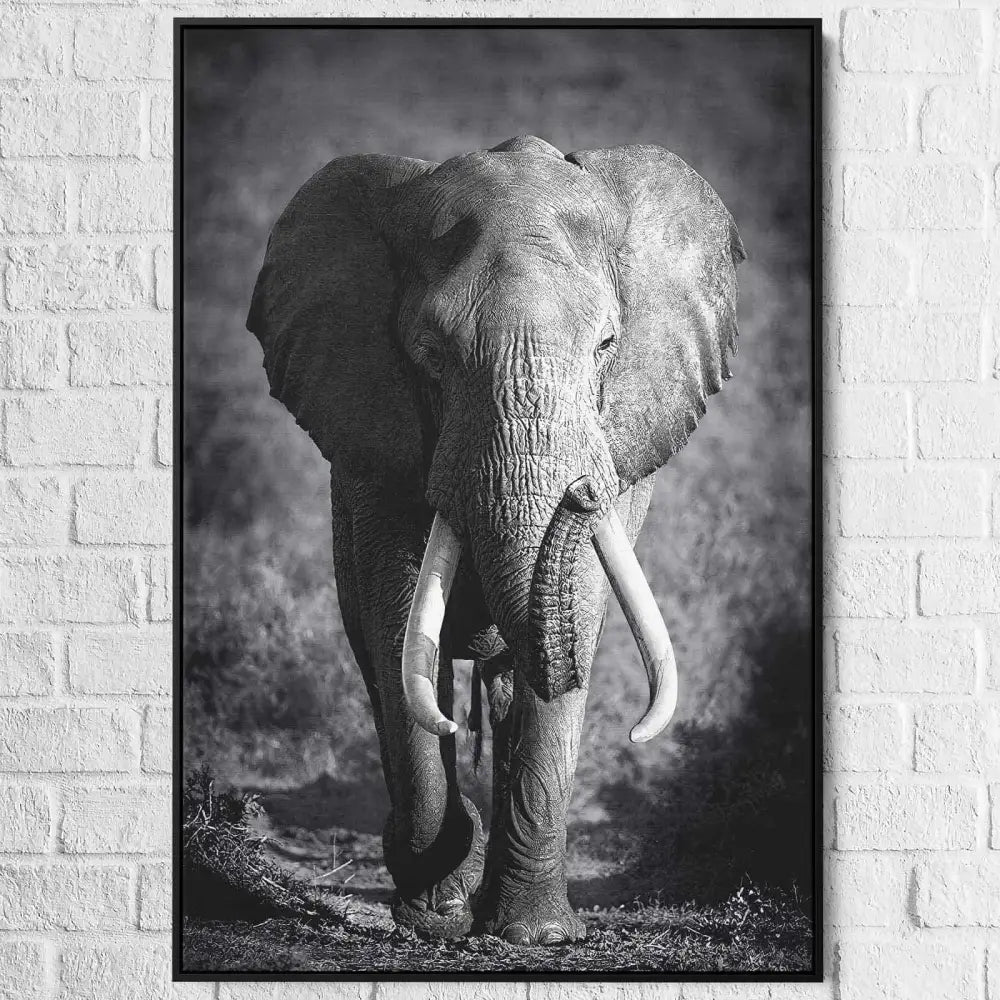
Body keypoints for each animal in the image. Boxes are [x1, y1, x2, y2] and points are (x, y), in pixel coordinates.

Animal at [247, 135, 744, 945]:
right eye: (429, 353)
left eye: (607, 345)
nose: (580, 493)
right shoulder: (375, 448)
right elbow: (399, 632)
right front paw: (436, 913)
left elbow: (575, 620)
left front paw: (535, 935)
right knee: (384, 663)